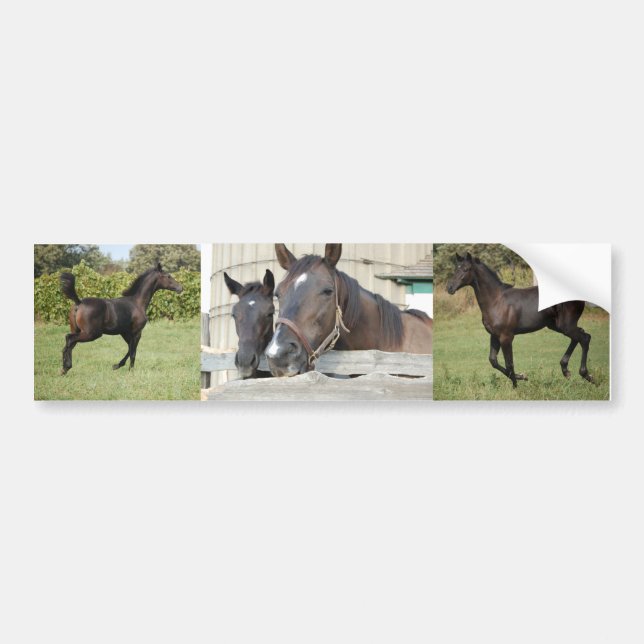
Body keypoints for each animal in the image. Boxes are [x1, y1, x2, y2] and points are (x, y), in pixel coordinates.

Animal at [446, 252, 593, 387]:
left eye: (466, 269)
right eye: (456, 268)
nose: (449, 288)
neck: (496, 301)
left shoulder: (506, 337)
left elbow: (509, 363)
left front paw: (516, 386)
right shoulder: (495, 335)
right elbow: (493, 361)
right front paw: (522, 377)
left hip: (565, 325)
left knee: (584, 338)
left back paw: (586, 374)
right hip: (557, 325)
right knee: (579, 336)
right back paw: (566, 370)